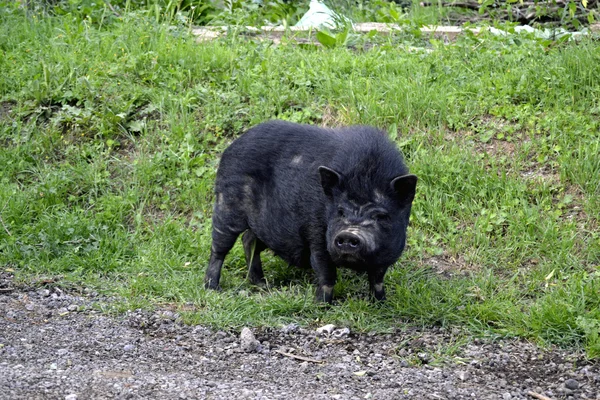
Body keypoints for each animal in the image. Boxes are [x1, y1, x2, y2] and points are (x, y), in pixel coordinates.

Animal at [204, 120, 414, 302]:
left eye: (381, 216)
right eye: (340, 211)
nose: (349, 234)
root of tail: (233, 145)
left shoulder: (388, 250)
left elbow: (377, 278)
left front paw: (381, 302)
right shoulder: (316, 233)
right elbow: (325, 272)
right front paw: (322, 305)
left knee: (248, 239)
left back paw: (262, 285)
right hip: (227, 205)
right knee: (219, 247)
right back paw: (213, 288)